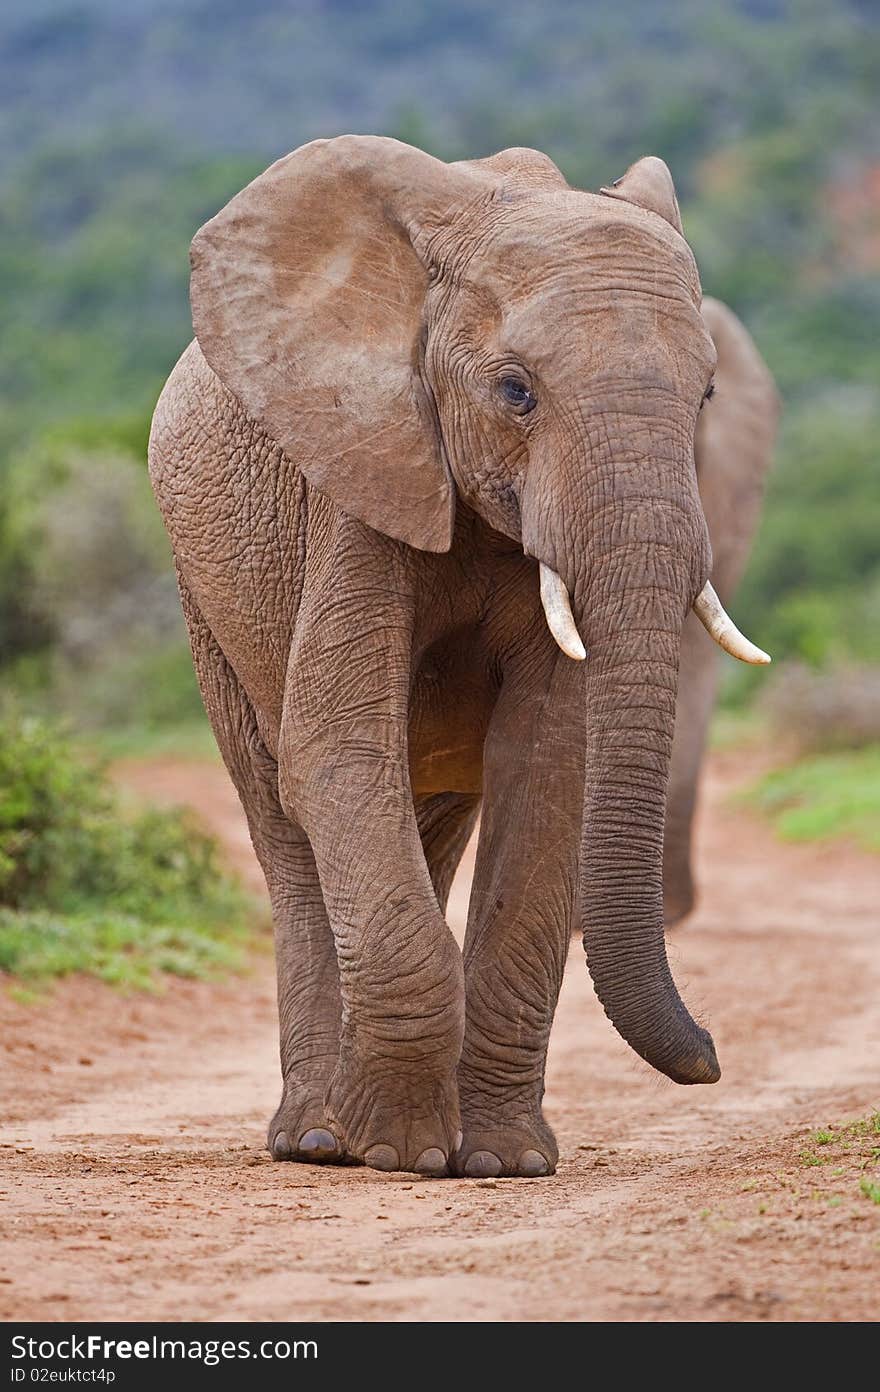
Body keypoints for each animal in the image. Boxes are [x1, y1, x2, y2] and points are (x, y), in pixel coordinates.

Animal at [149, 138, 774, 1174]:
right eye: (515, 391)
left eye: (707, 394)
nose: (714, 1058)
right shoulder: (359, 478)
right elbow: (336, 753)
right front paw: (400, 1155)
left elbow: (547, 764)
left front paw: (504, 1163)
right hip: (206, 597)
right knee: (284, 816)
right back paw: (320, 1138)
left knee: (430, 814)